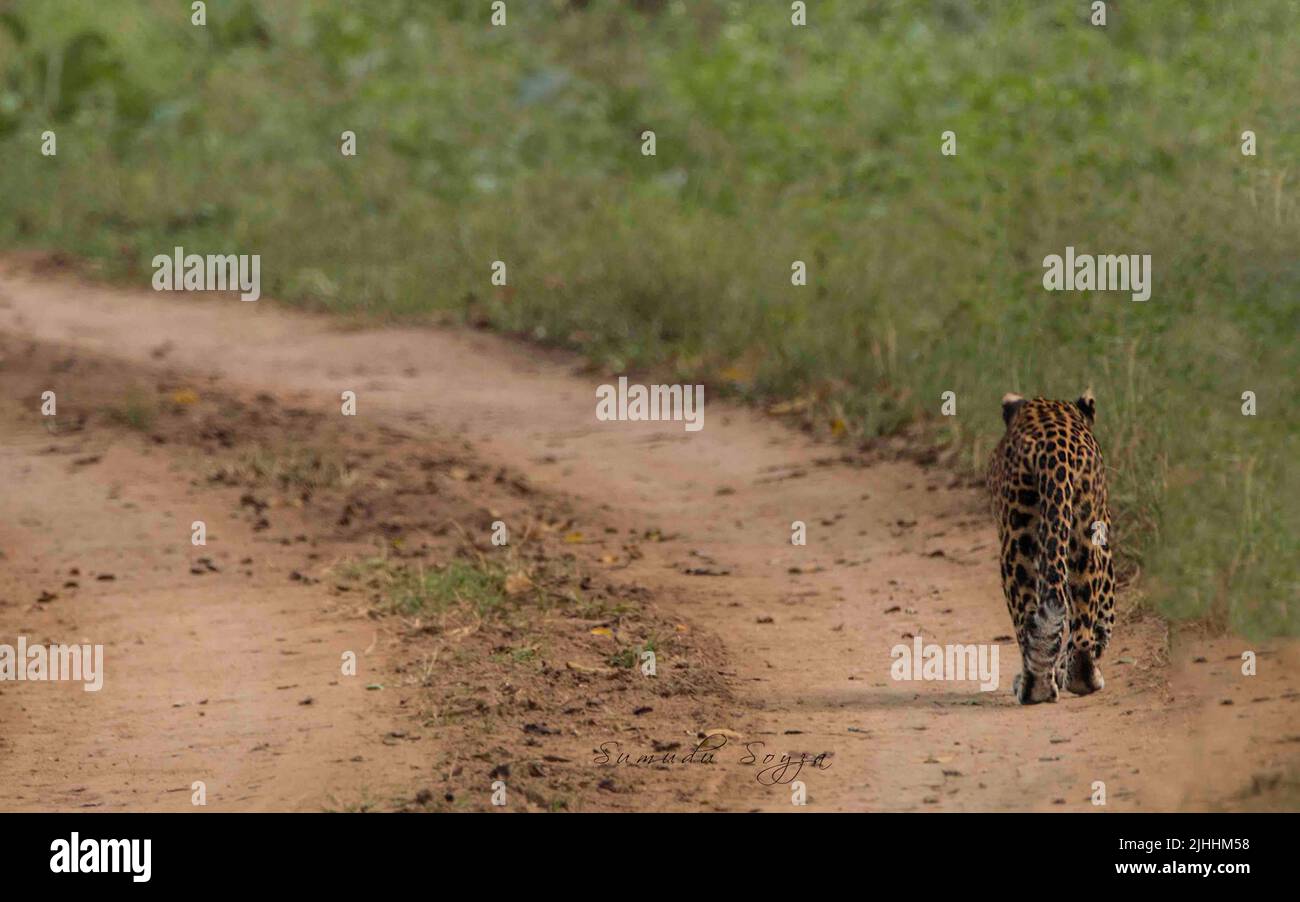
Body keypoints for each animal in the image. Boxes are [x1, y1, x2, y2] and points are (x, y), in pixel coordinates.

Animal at [987, 389, 1112, 707]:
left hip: (1020, 540)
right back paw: (1074, 679)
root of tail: (1054, 452)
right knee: (1079, 617)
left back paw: (1039, 685)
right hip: (1081, 535)